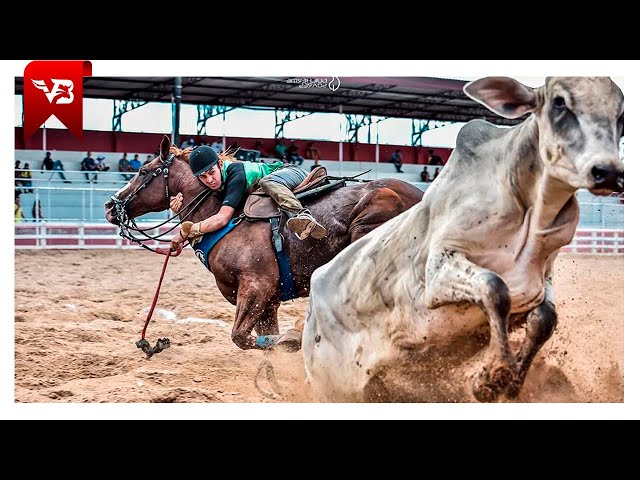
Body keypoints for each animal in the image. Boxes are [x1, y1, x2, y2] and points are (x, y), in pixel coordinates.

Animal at [105, 135, 424, 348]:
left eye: (143, 171)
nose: (110, 205)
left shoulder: (256, 286)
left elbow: (242, 337)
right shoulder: (267, 301)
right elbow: (262, 338)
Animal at [302, 78, 624, 402]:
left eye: (619, 114)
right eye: (559, 102)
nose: (608, 172)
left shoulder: (541, 280)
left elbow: (545, 318)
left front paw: (509, 381)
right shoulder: (439, 271)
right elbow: (496, 289)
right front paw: (493, 377)